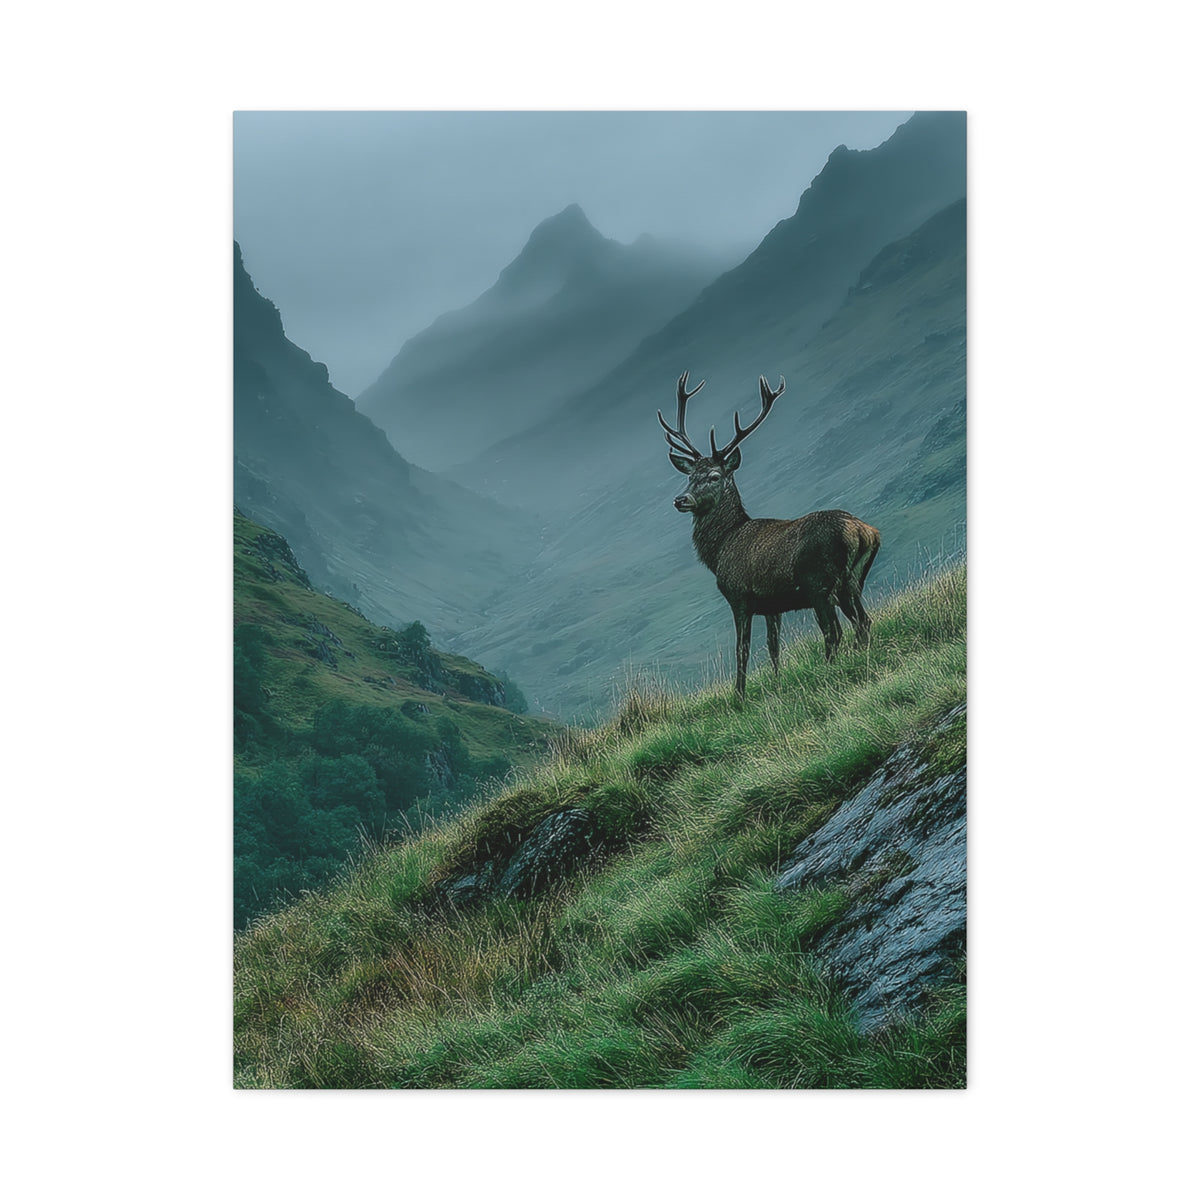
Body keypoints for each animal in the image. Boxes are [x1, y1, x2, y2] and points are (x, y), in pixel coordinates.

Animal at [661, 371, 881, 699]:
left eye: (714, 476)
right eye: (689, 476)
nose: (680, 500)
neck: (720, 549)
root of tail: (862, 532)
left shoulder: (739, 597)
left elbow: (742, 650)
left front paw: (739, 697)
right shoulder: (771, 604)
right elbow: (773, 646)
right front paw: (776, 684)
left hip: (819, 584)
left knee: (834, 631)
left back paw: (828, 671)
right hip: (851, 582)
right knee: (862, 622)